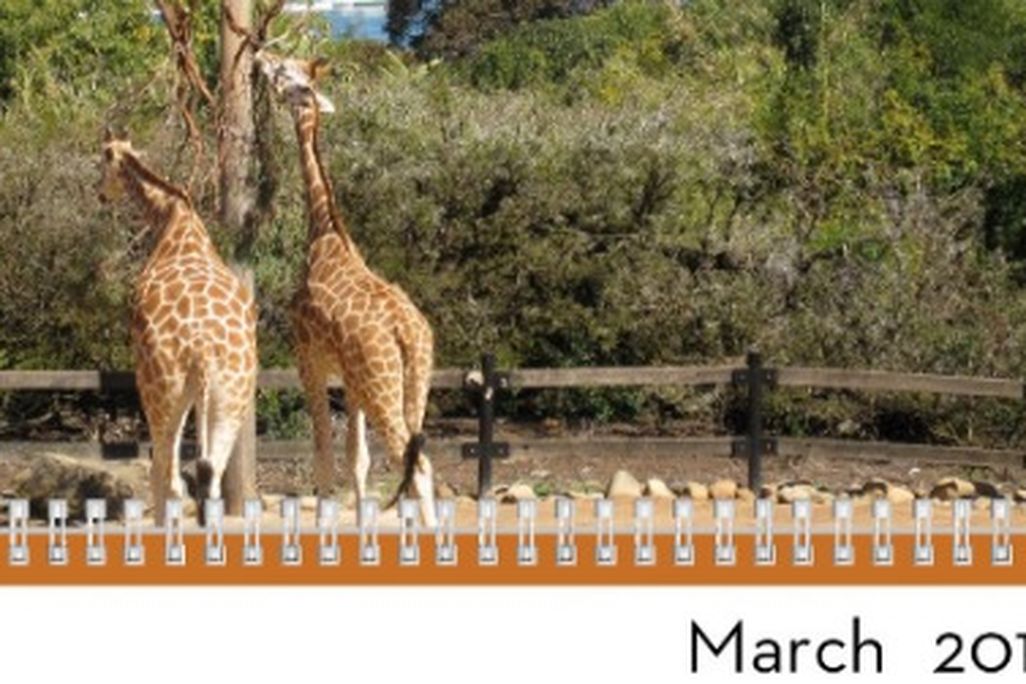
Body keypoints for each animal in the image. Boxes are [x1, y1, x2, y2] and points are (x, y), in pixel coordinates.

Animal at [97, 131, 258, 525]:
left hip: (163, 391)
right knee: (210, 475)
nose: (101, 194)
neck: (173, 219)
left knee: (168, 478)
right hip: (232, 396)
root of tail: (201, 346)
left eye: (102, 159)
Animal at [255, 50, 437, 527]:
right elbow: (358, 460)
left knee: (416, 464)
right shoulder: (350, 382)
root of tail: (406, 333)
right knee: (415, 459)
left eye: (286, 71)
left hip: (381, 386)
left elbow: (322, 455)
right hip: (414, 382)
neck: (324, 235)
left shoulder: (309, 362)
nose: (260, 55)